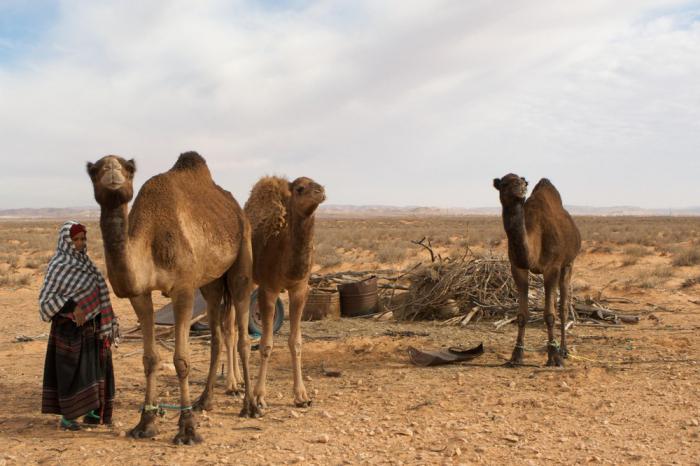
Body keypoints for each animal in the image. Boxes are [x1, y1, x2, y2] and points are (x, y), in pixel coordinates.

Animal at [87, 153, 260, 444]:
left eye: (129, 168)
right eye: (94, 169)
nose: (111, 169)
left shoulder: (183, 289)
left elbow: (181, 360)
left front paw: (187, 429)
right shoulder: (140, 294)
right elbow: (150, 359)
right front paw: (145, 423)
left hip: (242, 259)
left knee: (243, 334)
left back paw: (250, 406)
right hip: (211, 282)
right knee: (216, 335)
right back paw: (204, 400)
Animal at [242, 175, 326, 408]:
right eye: (299, 188)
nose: (321, 191)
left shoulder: (299, 289)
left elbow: (296, 342)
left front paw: (302, 396)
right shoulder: (268, 289)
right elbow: (266, 344)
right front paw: (259, 396)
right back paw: (233, 385)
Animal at [490, 173, 584, 366]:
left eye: (522, 182)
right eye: (504, 183)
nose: (521, 189)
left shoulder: (552, 268)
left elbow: (549, 315)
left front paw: (554, 356)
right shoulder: (517, 267)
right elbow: (522, 315)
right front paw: (516, 355)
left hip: (569, 263)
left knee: (563, 307)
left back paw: (563, 350)